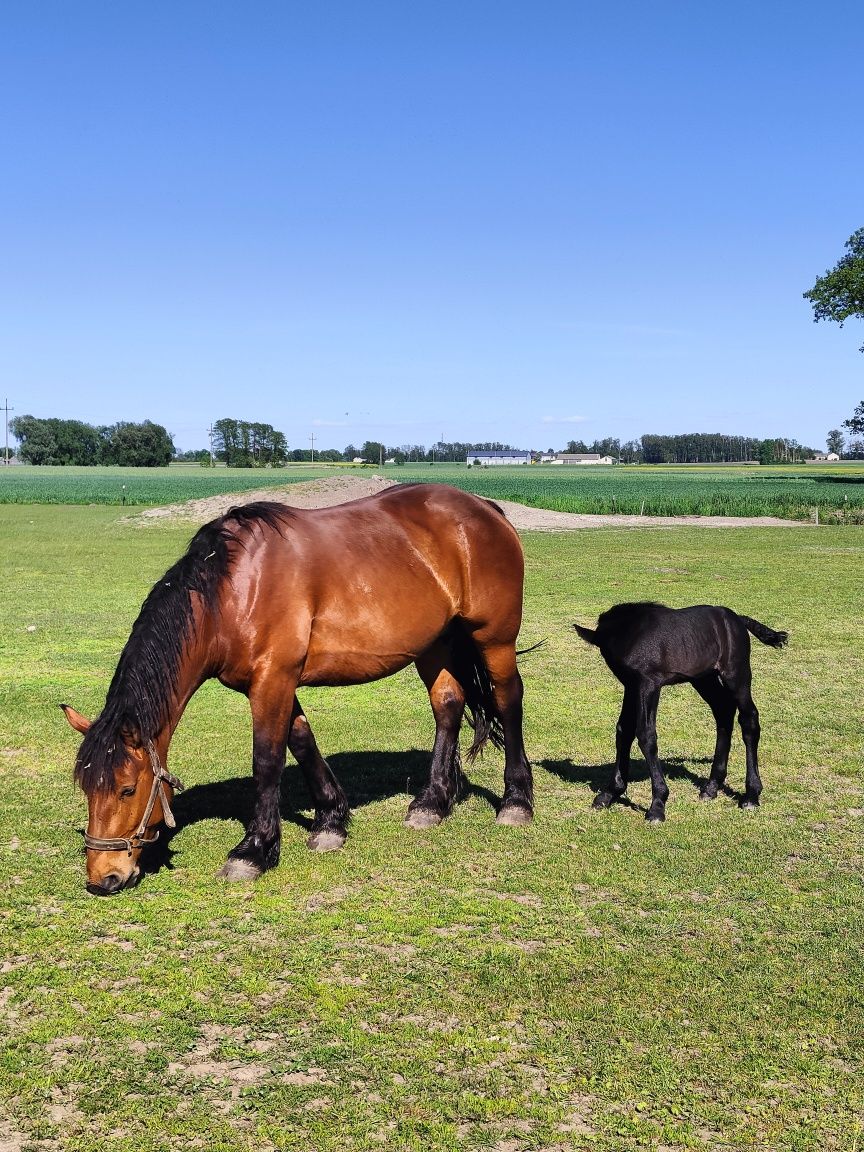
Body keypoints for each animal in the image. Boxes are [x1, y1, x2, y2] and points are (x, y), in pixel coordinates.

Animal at [62, 481, 534, 893]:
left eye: (127, 789)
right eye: (86, 788)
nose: (103, 878)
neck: (231, 591)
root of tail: (485, 508)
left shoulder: (273, 679)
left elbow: (267, 761)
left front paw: (253, 851)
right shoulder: (272, 683)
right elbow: (302, 741)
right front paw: (330, 822)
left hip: (494, 638)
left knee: (509, 702)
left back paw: (516, 802)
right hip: (434, 644)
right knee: (448, 706)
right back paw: (432, 803)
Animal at [578, 603, 787, 820]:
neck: (629, 630)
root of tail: (737, 618)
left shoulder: (648, 684)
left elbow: (646, 735)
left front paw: (658, 805)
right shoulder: (631, 684)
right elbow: (624, 730)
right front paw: (609, 794)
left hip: (736, 675)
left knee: (749, 719)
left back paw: (751, 795)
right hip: (703, 679)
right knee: (723, 712)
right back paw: (711, 787)